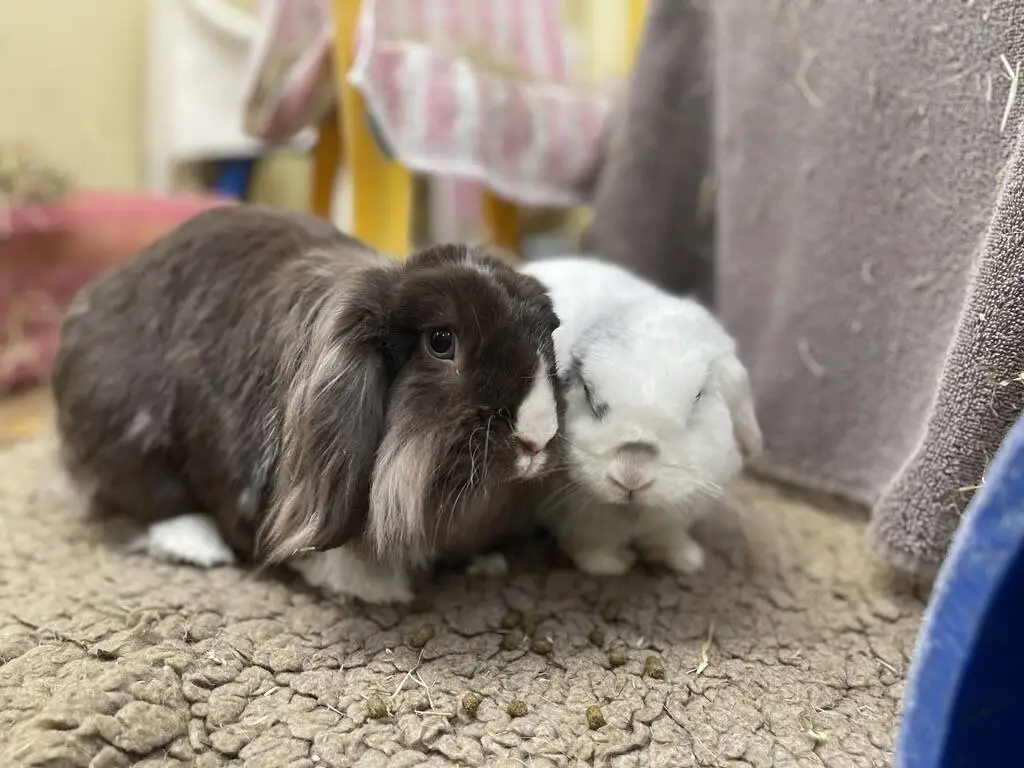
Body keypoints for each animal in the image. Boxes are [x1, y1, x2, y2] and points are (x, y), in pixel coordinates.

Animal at [52, 204, 564, 603]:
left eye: (548, 335)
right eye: (441, 342)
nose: (536, 438)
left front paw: (488, 563)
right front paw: (377, 588)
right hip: (127, 437)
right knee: (150, 499)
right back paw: (198, 548)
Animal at [519, 256, 762, 577]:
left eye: (698, 397)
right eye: (588, 392)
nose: (632, 474)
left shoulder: (674, 519)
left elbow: (669, 536)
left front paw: (686, 561)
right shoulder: (584, 523)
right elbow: (591, 547)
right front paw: (614, 566)